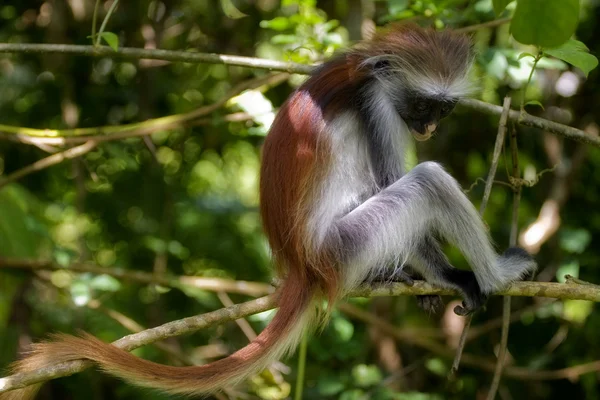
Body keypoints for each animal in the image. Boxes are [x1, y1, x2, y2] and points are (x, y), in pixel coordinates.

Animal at [0, 24, 536, 396]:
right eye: (422, 106)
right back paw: (492, 274)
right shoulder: (377, 106)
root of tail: (302, 262)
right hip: (343, 246)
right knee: (426, 180)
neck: (365, 68)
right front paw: (446, 276)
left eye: (442, 109)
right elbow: (391, 178)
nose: (427, 128)